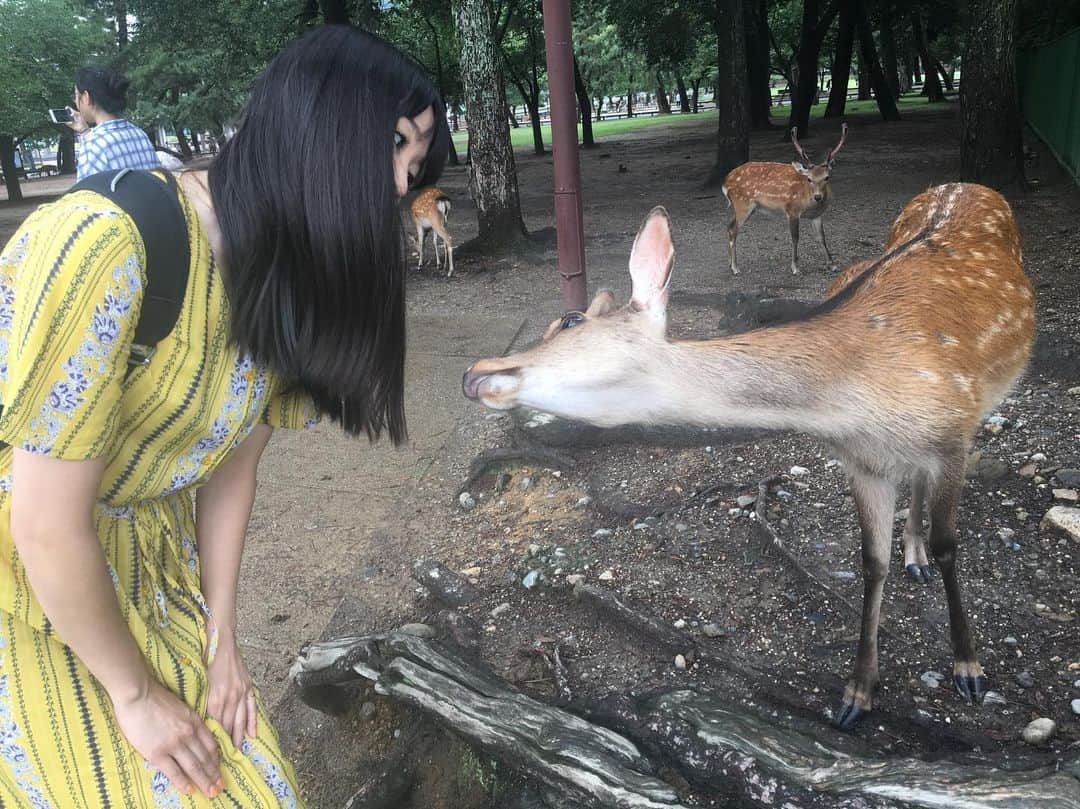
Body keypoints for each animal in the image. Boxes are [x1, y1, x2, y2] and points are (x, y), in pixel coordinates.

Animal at [460, 184, 1032, 730]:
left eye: (570, 320)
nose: (475, 372)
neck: (860, 405)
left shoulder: (954, 432)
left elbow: (949, 547)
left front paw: (968, 669)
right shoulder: (860, 460)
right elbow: (872, 562)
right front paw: (857, 694)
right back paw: (911, 554)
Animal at [721, 122, 846, 274]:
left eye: (827, 177)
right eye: (809, 179)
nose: (818, 196)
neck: (808, 202)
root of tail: (725, 182)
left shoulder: (817, 215)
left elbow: (821, 237)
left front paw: (832, 264)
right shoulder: (792, 210)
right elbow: (795, 238)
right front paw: (795, 268)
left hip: (745, 207)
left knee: (729, 227)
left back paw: (729, 264)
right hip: (742, 204)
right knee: (734, 230)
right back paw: (735, 268)